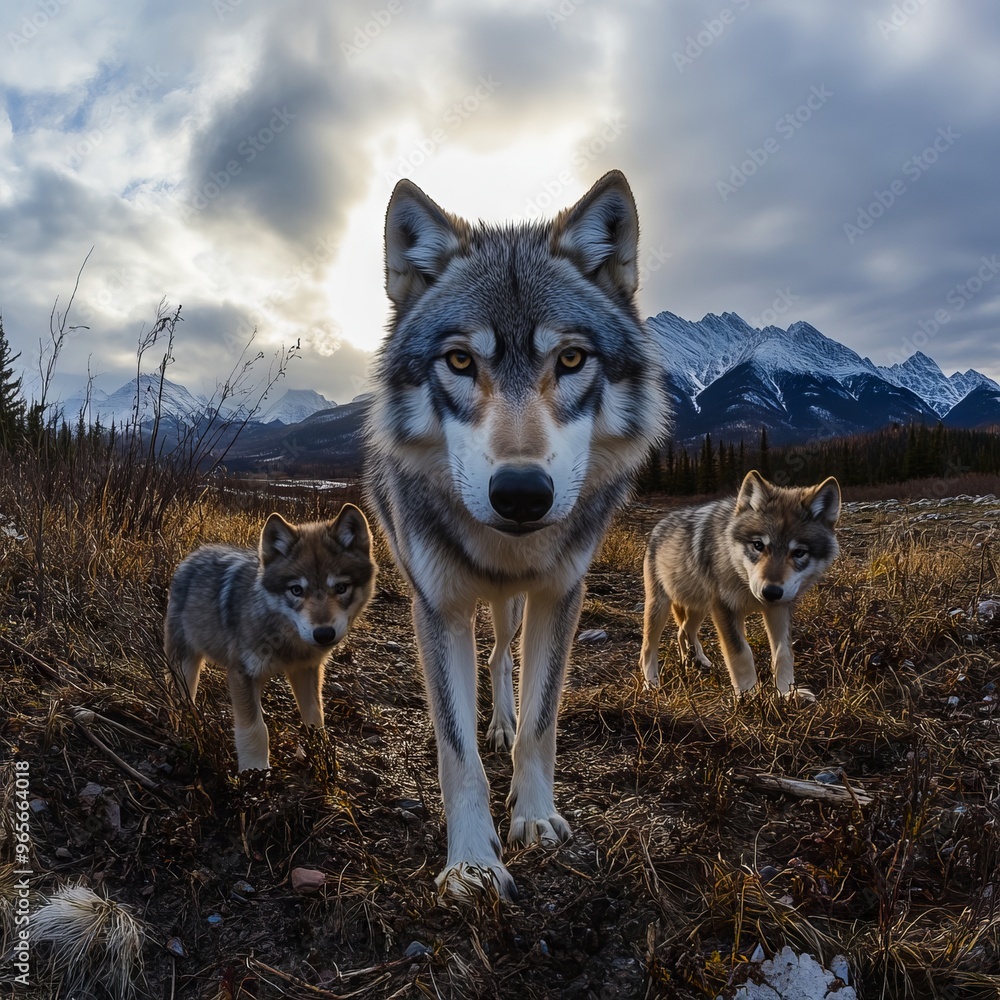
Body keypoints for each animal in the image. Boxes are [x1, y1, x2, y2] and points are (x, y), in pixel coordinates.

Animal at [164, 505, 375, 771]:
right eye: (296, 590)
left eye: (341, 588)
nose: (324, 634)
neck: (285, 638)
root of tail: (193, 555)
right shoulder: (242, 674)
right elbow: (255, 729)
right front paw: (254, 772)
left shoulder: (306, 669)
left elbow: (315, 718)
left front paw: (321, 754)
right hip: (186, 664)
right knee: (181, 696)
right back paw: (185, 723)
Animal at [365, 170, 672, 897]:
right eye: (458, 361)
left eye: (571, 358)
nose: (523, 493)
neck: (509, 549)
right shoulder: (437, 608)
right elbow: (457, 753)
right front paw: (472, 861)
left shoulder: (560, 594)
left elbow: (540, 722)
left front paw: (533, 818)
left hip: (512, 606)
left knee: (503, 654)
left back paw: (500, 720)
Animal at [639, 470, 841, 702]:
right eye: (758, 545)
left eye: (799, 552)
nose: (771, 592)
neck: (742, 578)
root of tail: (661, 523)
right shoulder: (725, 610)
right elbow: (741, 653)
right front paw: (749, 697)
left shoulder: (779, 608)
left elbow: (784, 653)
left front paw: (786, 694)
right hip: (660, 606)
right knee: (648, 647)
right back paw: (651, 683)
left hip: (700, 608)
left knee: (683, 631)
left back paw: (695, 661)